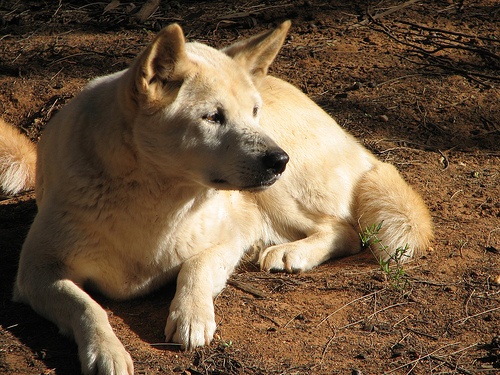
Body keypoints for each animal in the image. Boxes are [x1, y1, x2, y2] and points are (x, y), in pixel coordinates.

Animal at [0, 22, 432, 375]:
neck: (157, 199)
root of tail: (354, 142)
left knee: (345, 230)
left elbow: (195, 268)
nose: (279, 160)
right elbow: (86, 306)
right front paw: (106, 351)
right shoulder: (36, 273)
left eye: (253, 111)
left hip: (278, 191)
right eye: (213, 117)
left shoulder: (229, 239)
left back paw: (291, 253)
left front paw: (191, 316)